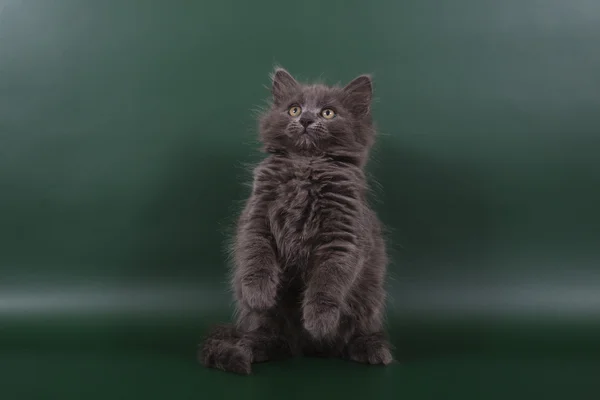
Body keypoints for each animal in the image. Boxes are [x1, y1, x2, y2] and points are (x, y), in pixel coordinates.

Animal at [199, 69, 392, 376]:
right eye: (294, 109)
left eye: (328, 112)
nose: (305, 119)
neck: (305, 165)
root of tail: (310, 349)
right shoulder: (256, 217)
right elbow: (256, 257)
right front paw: (259, 293)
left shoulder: (343, 234)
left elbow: (327, 281)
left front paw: (319, 320)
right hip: (265, 321)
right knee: (271, 336)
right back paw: (254, 348)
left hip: (369, 300)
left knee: (359, 333)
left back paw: (370, 350)